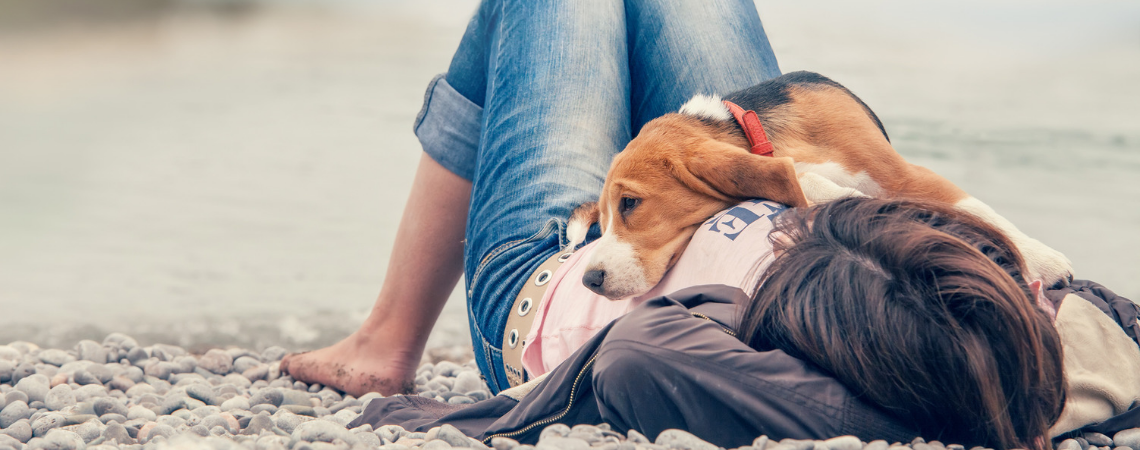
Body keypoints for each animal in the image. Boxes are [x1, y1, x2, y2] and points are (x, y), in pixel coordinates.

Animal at [570, 71, 1076, 298]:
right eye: (604, 220)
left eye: (631, 203)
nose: (590, 279)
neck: (762, 134)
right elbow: (803, 181)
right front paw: (834, 193)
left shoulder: (900, 172)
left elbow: (979, 210)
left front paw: (1043, 260)